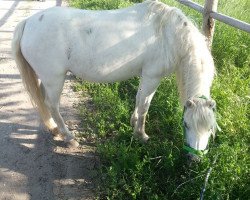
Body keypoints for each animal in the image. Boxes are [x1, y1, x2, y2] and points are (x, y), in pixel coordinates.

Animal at [12, 0, 218, 159]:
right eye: (186, 124)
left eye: (210, 129)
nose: (195, 159)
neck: (168, 34)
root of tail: (28, 22)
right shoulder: (152, 77)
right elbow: (145, 106)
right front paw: (141, 135)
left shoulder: (145, 76)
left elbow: (138, 100)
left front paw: (133, 122)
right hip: (54, 79)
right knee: (52, 105)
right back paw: (69, 137)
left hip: (46, 79)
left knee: (44, 101)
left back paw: (54, 129)